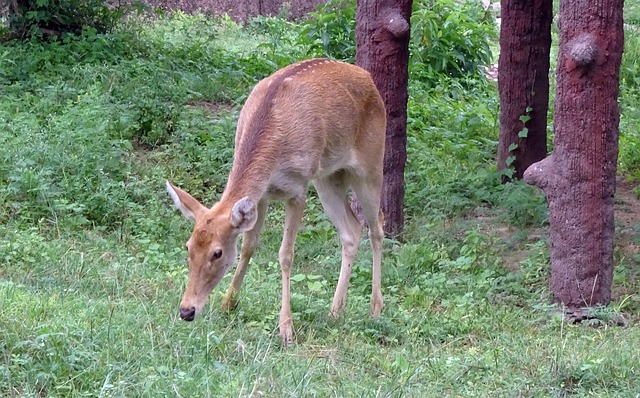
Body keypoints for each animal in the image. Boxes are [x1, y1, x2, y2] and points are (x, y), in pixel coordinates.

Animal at [165, 57, 384, 344]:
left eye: (217, 252)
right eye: (188, 247)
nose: (186, 311)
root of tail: (369, 79)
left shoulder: (298, 187)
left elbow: (285, 255)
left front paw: (286, 328)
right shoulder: (261, 196)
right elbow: (249, 246)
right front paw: (228, 304)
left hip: (371, 165)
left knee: (377, 227)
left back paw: (375, 308)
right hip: (328, 177)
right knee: (351, 230)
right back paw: (335, 310)